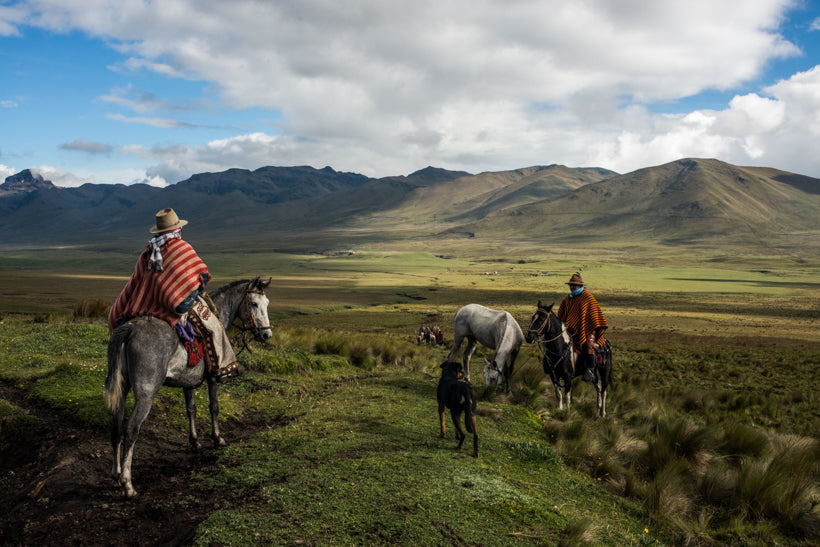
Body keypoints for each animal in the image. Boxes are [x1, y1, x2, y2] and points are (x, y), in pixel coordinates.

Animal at [104, 278, 272, 496]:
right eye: (253, 303)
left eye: (267, 303)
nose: (266, 334)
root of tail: (130, 329)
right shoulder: (213, 379)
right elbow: (214, 407)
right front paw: (217, 439)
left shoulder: (188, 381)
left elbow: (191, 409)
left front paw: (195, 441)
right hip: (145, 393)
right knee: (131, 429)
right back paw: (128, 484)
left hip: (122, 389)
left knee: (116, 427)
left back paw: (116, 476)